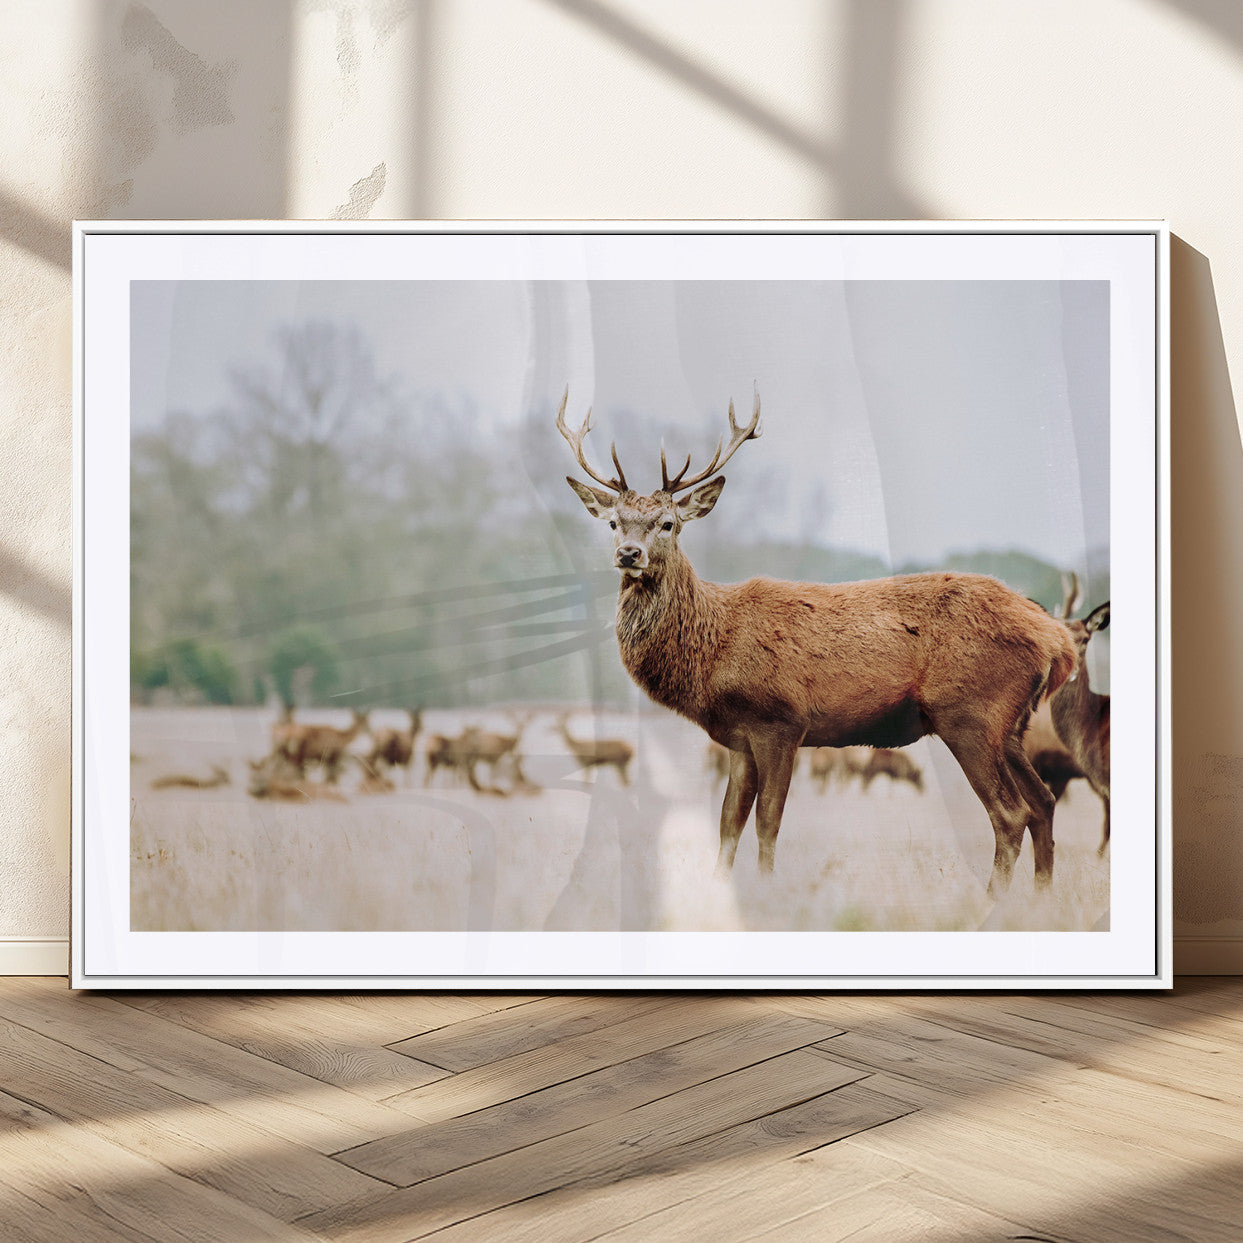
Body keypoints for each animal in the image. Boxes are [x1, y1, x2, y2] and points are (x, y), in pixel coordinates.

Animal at [559, 387, 1078, 894]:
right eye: (613, 523)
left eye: (668, 523)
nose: (629, 554)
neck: (713, 651)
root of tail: (1058, 640)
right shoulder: (738, 738)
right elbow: (728, 824)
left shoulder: (781, 721)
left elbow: (768, 822)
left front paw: (769, 893)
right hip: (1011, 726)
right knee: (1044, 802)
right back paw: (1041, 900)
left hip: (970, 712)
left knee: (1010, 813)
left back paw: (994, 902)